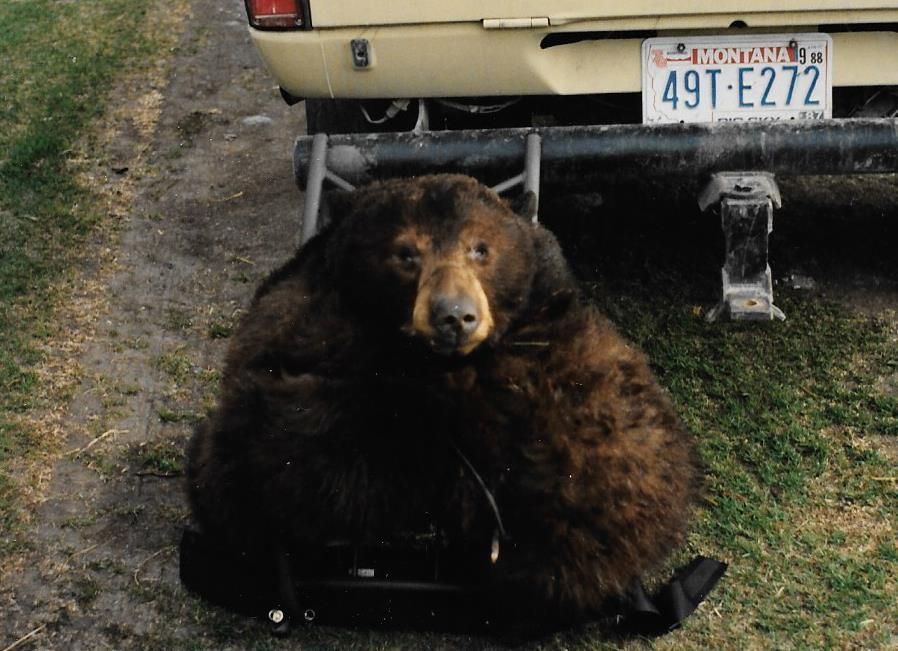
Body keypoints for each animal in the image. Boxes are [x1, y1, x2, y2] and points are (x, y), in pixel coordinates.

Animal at [186, 173, 702, 633]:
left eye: (481, 249)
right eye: (406, 254)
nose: (454, 315)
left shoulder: (561, 347)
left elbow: (617, 465)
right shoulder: (302, 323)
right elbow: (283, 421)